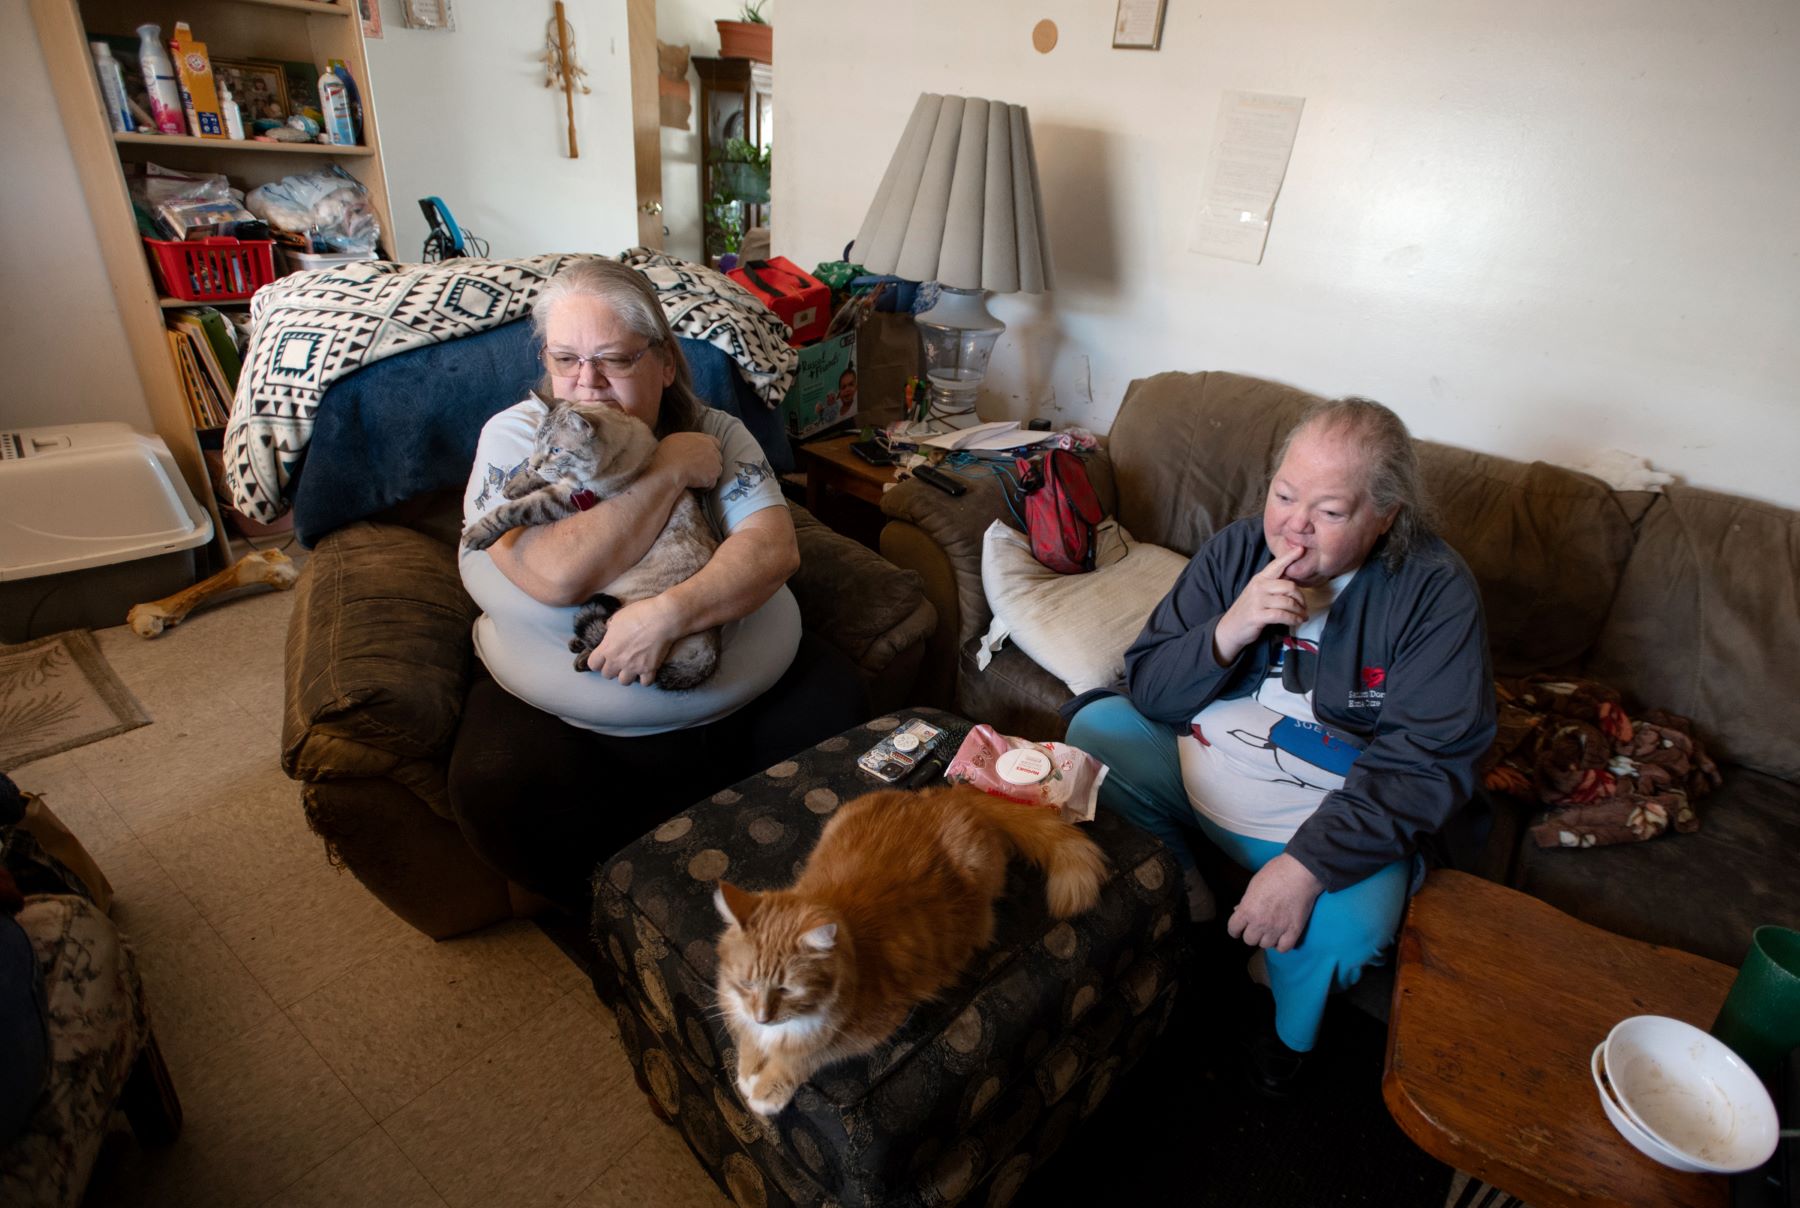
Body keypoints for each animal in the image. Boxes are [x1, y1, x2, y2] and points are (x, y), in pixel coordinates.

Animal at [709, 784, 1101, 1116]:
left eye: (787, 989)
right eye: (746, 984)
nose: (763, 1017)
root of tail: (950, 794)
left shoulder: (869, 1029)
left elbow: (806, 1057)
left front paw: (766, 1087)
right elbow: (746, 1037)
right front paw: (748, 1066)